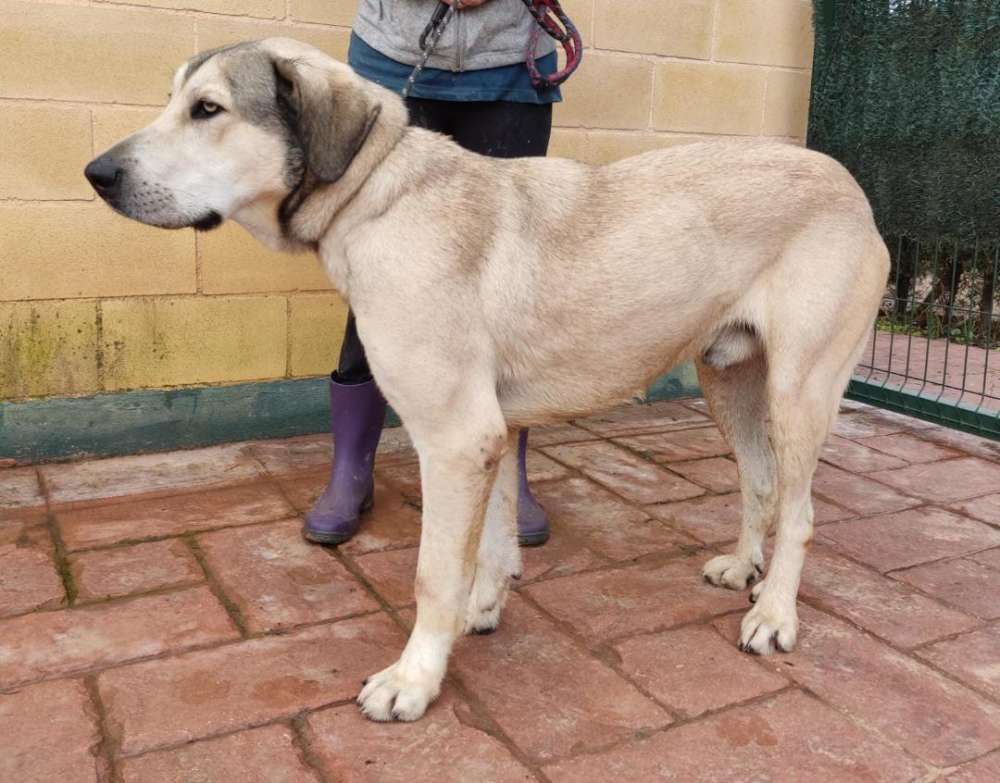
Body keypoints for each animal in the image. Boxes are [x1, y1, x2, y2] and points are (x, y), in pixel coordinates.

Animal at [85, 38, 889, 722]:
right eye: (172, 100)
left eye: (208, 110)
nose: (96, 175)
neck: (378, 196)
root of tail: (850, 182)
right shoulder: (493, 432)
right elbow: (494, 540)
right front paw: (483, 608)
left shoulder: (454, 437)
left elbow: (434, 571)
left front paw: (414, 676)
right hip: (729, 379)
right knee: (761, 483)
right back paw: (744, 567)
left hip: (798, 393)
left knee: (802, 512)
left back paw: (774, 614)